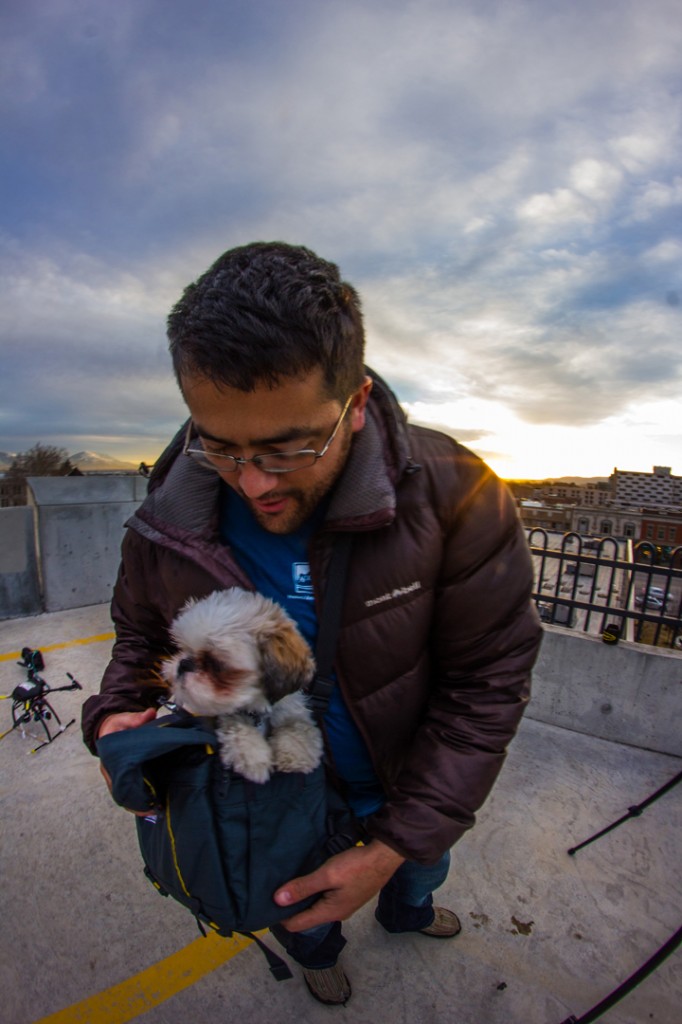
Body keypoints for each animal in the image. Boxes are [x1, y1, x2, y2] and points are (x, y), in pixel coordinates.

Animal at [163, 585, 323, 782]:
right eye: (183, 648)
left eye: (216, 664)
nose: (184, 663)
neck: (257, 708)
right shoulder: (226, 712)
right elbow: (237, 727)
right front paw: (253, 757)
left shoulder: (292, 710)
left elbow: (299, 728)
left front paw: (295, 756)